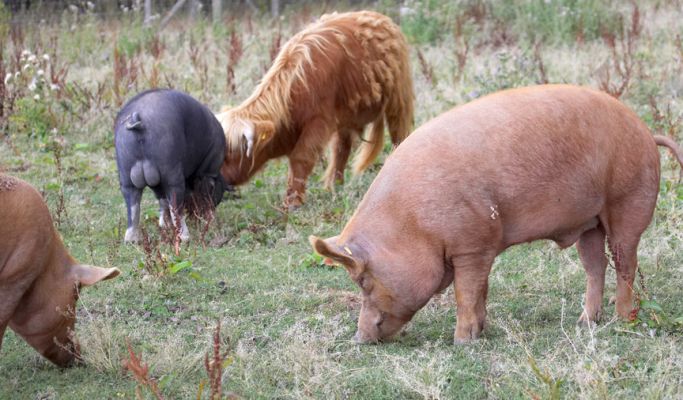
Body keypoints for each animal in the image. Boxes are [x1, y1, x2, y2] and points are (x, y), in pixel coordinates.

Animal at [114, 89, 227, 243]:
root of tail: (137, 119)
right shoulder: (207, 172)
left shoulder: (156, 184)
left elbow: (162, 200)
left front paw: (164, 225)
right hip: (171, 172)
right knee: (175, 206)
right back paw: (185, 237)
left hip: (126, 176)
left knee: (133, 206)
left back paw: (132, 240)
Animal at [310, 85, 683, 344]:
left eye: (362, 280)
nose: (358, 338)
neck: (412, 223)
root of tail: (647, 133)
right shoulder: (483, 246)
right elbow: (481, 290)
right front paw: (479, 332)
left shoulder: (470, 244)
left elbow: (465, 293)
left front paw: (462, 342)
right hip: (589, 222)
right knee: (595, 266)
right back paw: (584, 322)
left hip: (628, 202)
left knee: (625, 263)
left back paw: (622, 320)